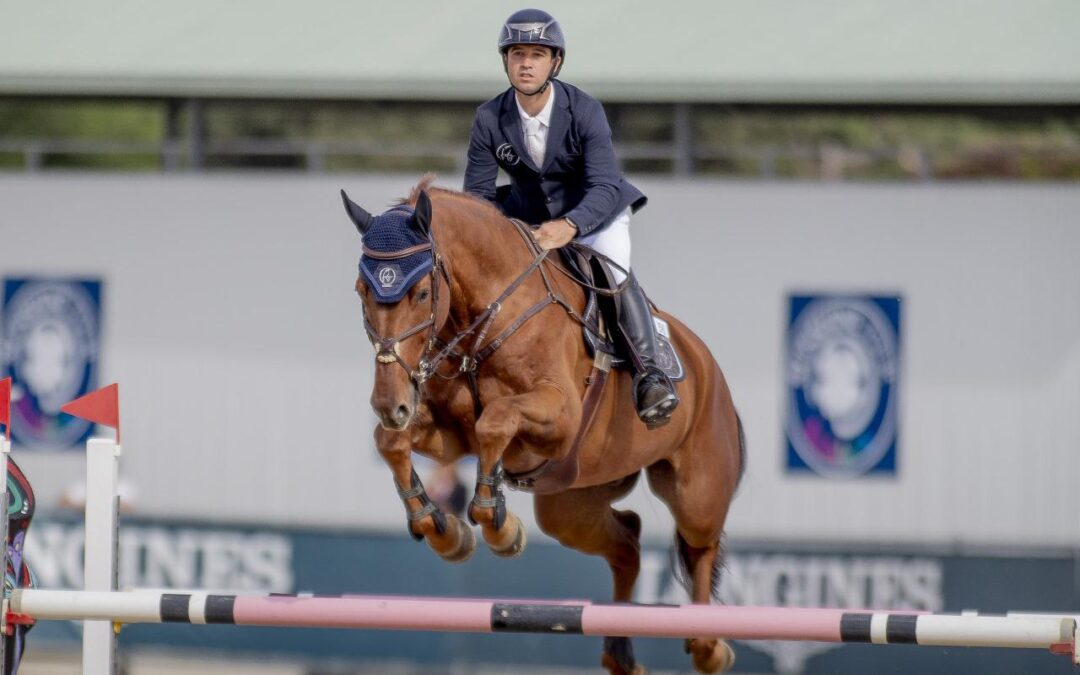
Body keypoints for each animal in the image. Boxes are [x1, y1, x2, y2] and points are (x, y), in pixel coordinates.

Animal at [341, 176, 747, 669]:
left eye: (420, 293)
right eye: (361, 291)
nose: (390, 403)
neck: (486, 314)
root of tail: (708, 364)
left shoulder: (561, 416)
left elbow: (496, 421)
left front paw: (498, 526)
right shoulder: (450, 434)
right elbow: (392, 442)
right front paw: (443, 530)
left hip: (695, 489)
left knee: (700, 546)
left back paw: (708, 647)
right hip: (570, 504)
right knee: (628, 541)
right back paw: (619, 652)